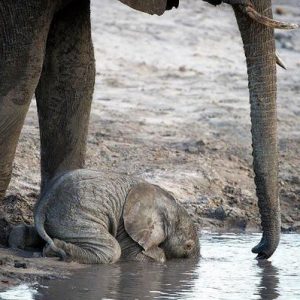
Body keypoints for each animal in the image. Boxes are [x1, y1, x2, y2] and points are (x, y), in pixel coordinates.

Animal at [16, 170, 199, 264]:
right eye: (188, 246)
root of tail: (43, 205)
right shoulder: (127, 226)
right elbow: (135, 256)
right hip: (76, 217)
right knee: (112, 250)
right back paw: (54, 250)